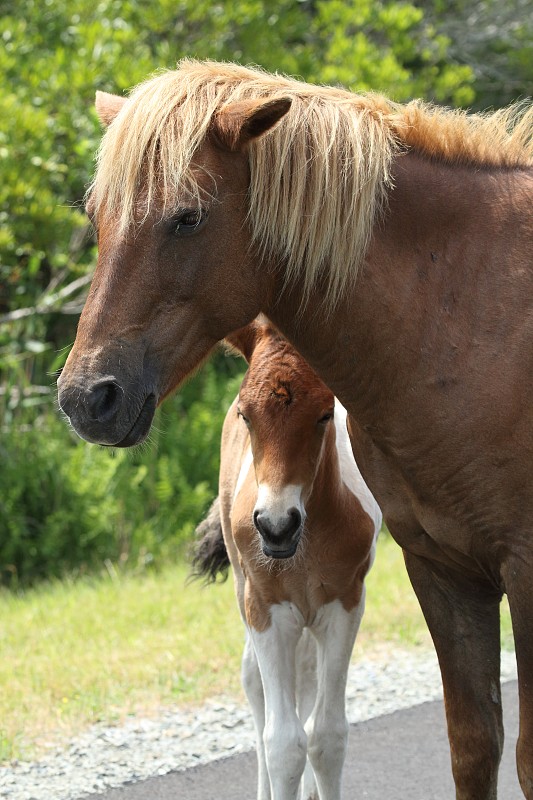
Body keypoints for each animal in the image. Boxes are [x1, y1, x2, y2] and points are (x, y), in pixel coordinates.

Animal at [191, 318, 378, 800]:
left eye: (325, 414)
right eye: (246, 415)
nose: (277, 526)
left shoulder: (344, 604)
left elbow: (327, 736)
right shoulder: (266, 608)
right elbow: (283, 742)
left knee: (306, 677)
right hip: (247, 592)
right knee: (254, 680)